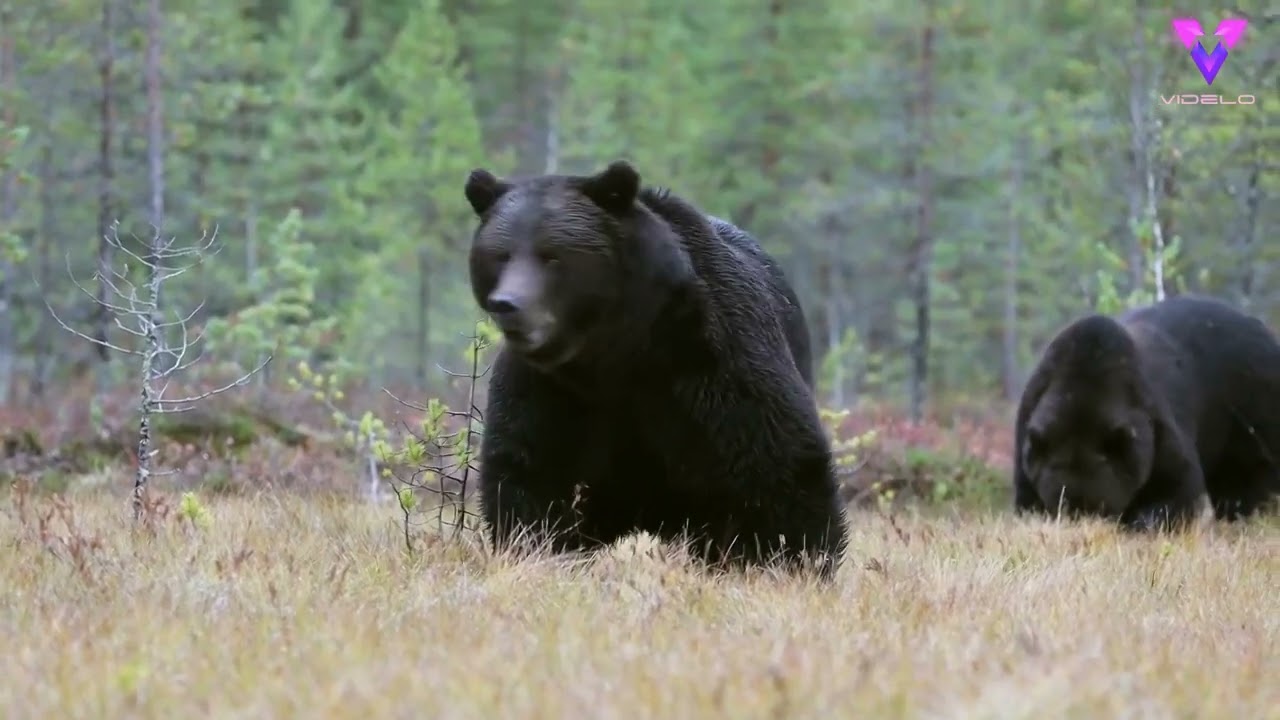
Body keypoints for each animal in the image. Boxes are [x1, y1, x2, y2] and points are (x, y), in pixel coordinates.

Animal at [463, 159, 847, 578]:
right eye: (500, 255)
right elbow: (534, 472)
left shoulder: (710, 358)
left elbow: (775, 460)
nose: (508, 304)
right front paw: (538, 550)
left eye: (551, 255)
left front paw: (789, 559)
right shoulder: (552, 389)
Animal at [1012, 294, 1280, 531]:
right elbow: (1026, 495)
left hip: (1250, 407)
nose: (1084, 524)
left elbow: (1177, 485)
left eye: (1102, 507)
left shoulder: (1153, 422)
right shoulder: (1029, 421)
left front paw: (1145, 522)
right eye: (1061, 506)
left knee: (1249, 475)